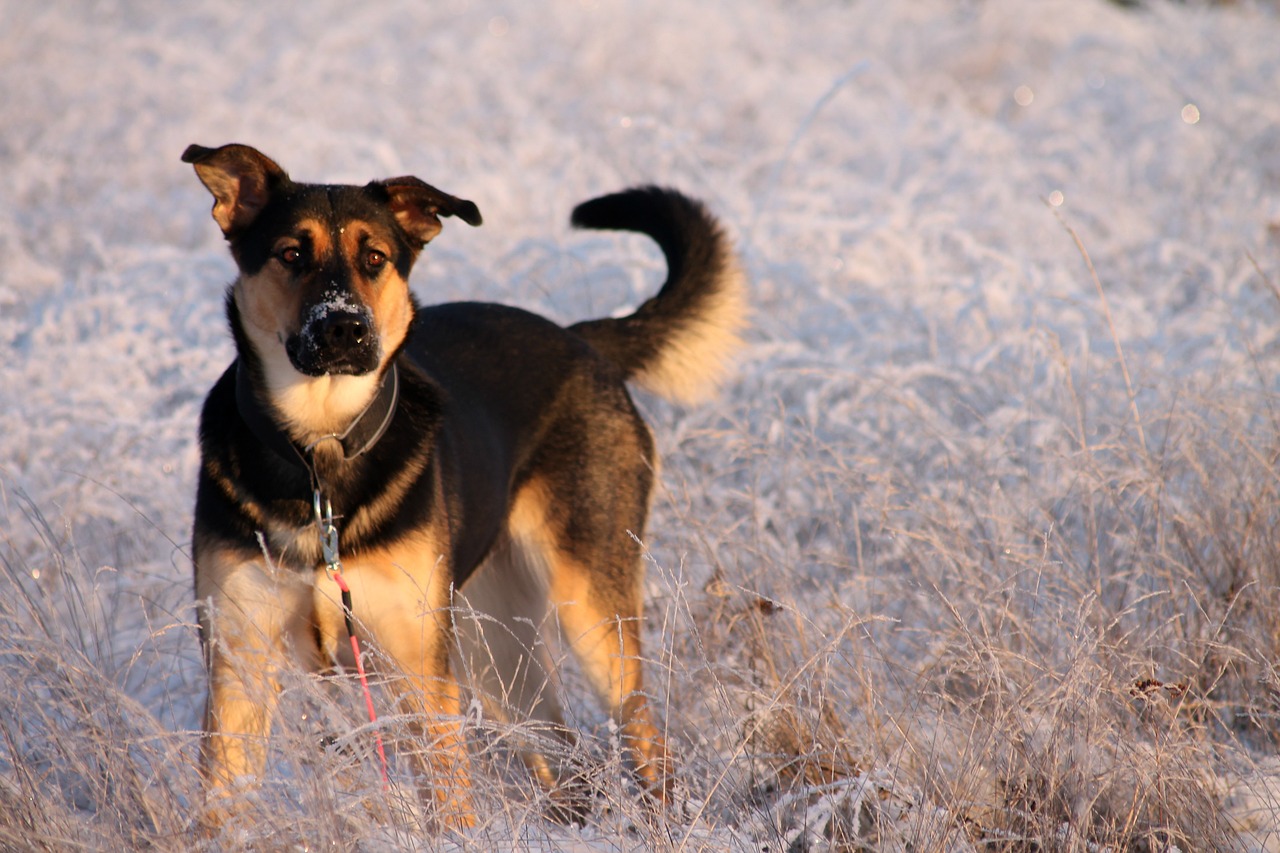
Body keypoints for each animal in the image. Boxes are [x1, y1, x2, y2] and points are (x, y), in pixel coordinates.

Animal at [180, 140, 742, 824]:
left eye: (375, 258)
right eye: (291, 254)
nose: (344, 328)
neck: (320, 451)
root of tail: (580, 340)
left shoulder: (419, 672)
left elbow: (449, 808)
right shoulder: (237, 666)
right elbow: (223, 808)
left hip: (588, 610)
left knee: (643, 736)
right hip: (490, 643)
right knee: (561, 753)